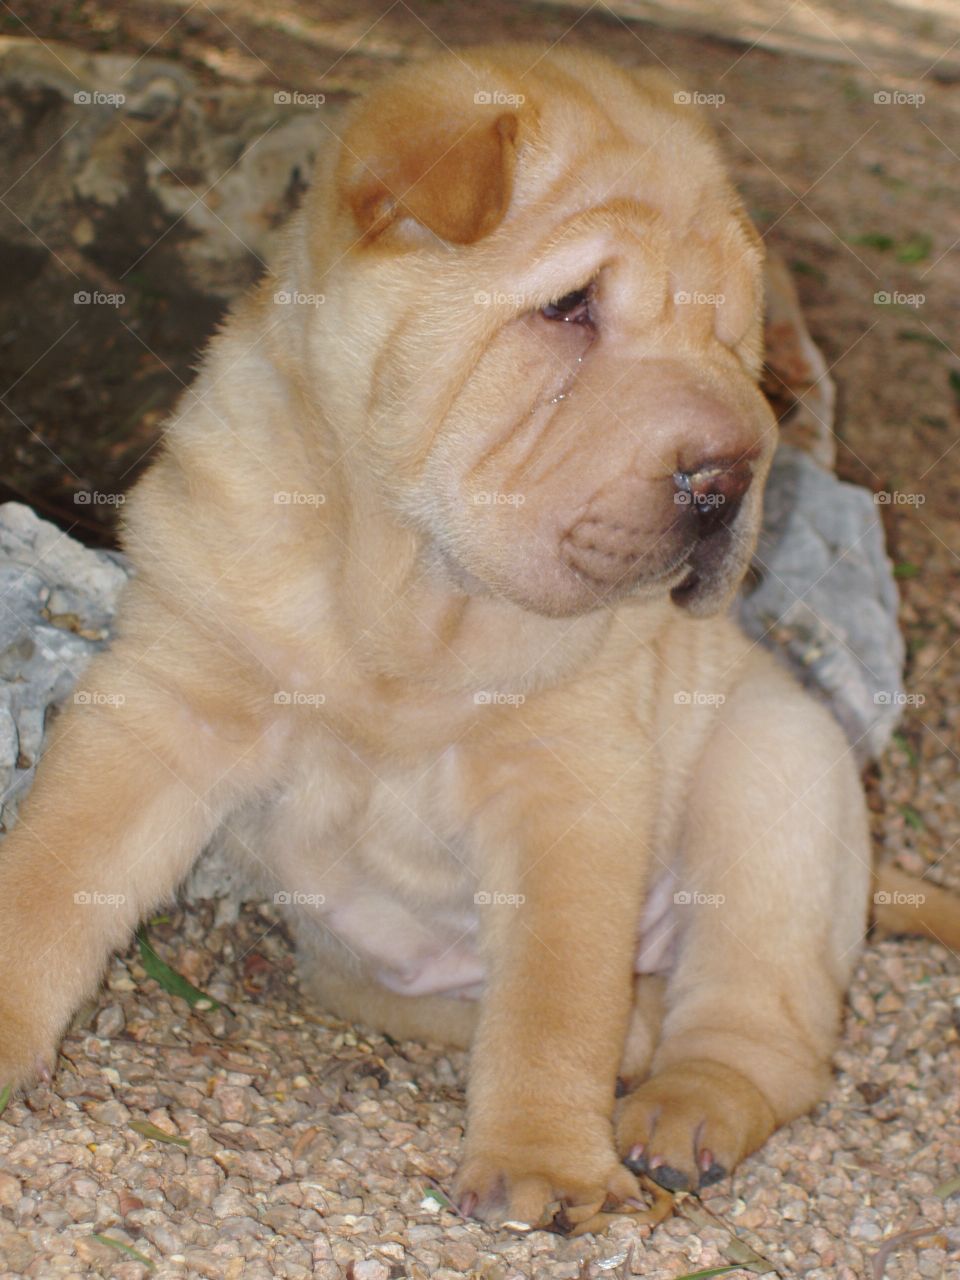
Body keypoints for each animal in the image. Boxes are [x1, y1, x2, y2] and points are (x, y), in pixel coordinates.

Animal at [0, 45, 885, 1228]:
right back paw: (636, 1037)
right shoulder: (164, 700)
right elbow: (50, 874)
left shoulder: (569, 784)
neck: (407, 596)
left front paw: (547, 1163)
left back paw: (680, 1107)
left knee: (763, 1032)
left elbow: (556, 993)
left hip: (774, 779)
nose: (730, 477)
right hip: (359, 960)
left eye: (731, 341)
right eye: (569, 309)